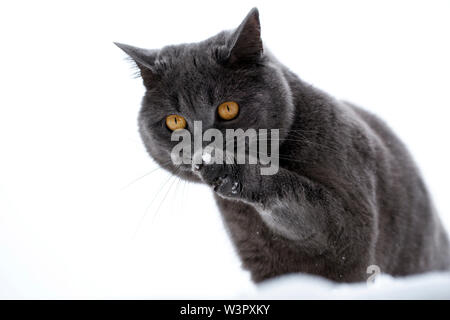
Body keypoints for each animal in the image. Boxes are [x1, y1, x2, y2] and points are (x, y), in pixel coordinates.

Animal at [117, 7, 450, 282]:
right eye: (175, 121)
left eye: (228, 109)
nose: (203, 148)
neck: (247, 215)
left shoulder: (353, 221)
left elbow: (300, 196)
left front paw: (227, 168)